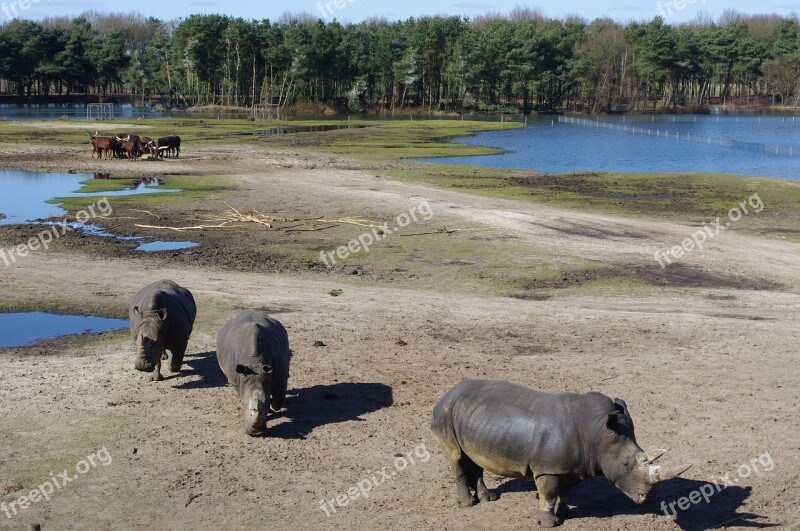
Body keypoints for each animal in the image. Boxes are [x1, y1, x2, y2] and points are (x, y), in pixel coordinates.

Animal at [217, 310, 292, 438]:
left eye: (266, 403)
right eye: (242, 404)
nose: (255, 434)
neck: (255, 364)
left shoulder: (281, 377)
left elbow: (278, 402)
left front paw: (271, 407)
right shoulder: (236, 381)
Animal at [434, 380, 692, 524]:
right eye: (626, 464)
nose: (649, 497)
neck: (597, 433)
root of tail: (447, 393)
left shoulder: (571, 467)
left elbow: (561, 492)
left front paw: (563, 513)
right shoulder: (548, 468)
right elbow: (548, 493)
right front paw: (548, 523)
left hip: (471, 416)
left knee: (473, 458)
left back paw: (489, 499)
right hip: (445, 414)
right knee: (456, 457)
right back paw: (468, 505)